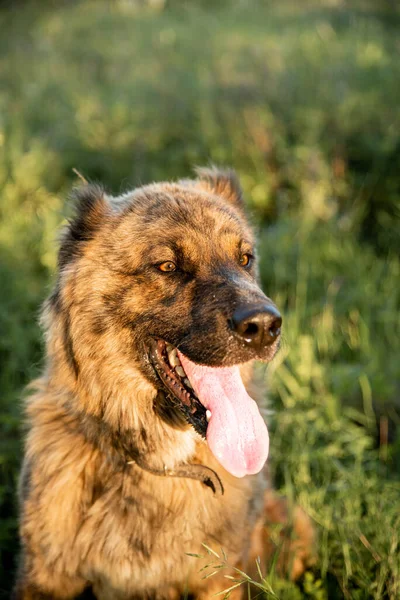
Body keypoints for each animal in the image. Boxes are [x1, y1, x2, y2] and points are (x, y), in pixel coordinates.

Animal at [14, 166, 316, 596]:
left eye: (244, 258)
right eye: (167, 267)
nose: (263, 326)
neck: (161, 463)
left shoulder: (220, 581)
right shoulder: (45, 576)